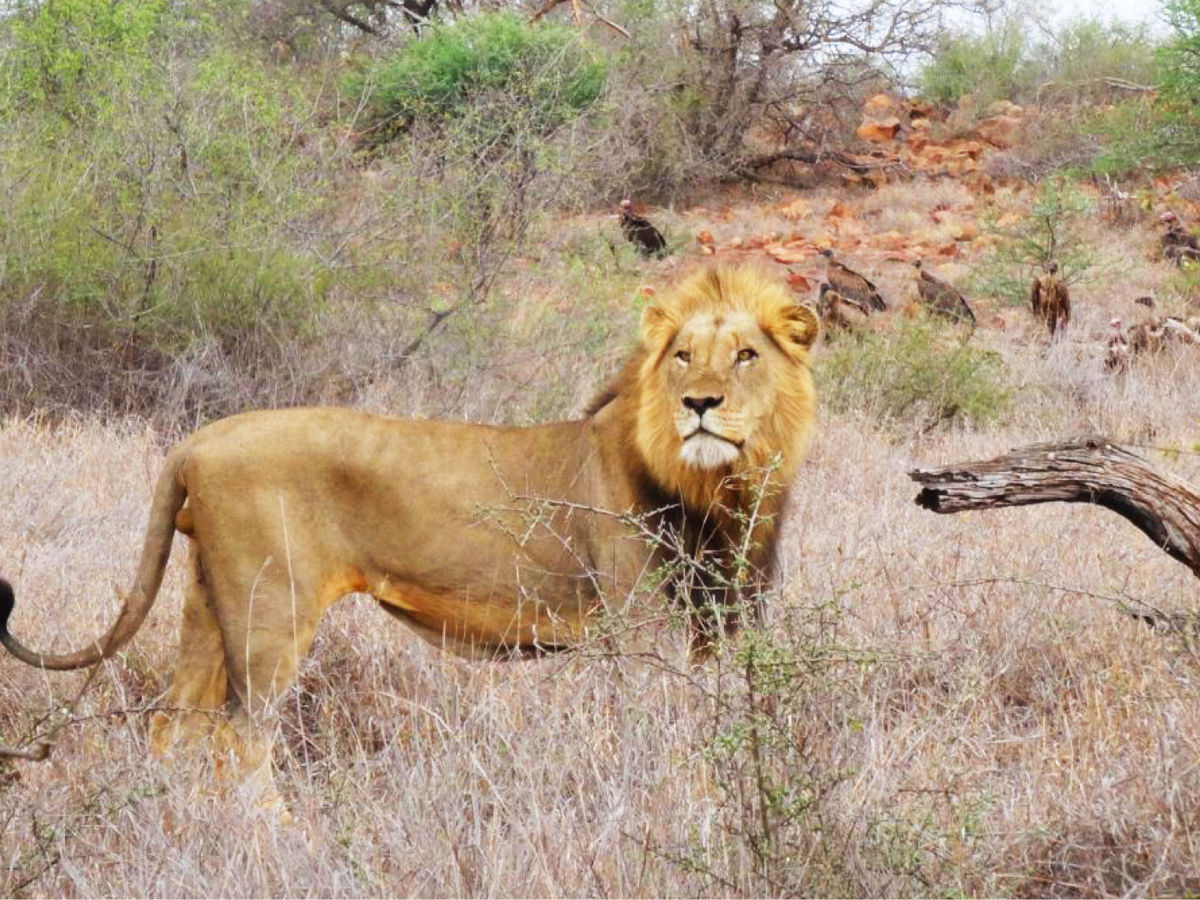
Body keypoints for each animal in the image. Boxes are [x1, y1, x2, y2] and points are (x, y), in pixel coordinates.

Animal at [0, 264, 816, 792]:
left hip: (207, 602)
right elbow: (666, 737)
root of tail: (194, 442)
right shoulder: (642, 630)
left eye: (746, 355)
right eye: (682, 356)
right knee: (243, 743)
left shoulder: (717, 627)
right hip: (271, 615)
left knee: (174, 728)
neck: (722, 490)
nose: (700, 403)